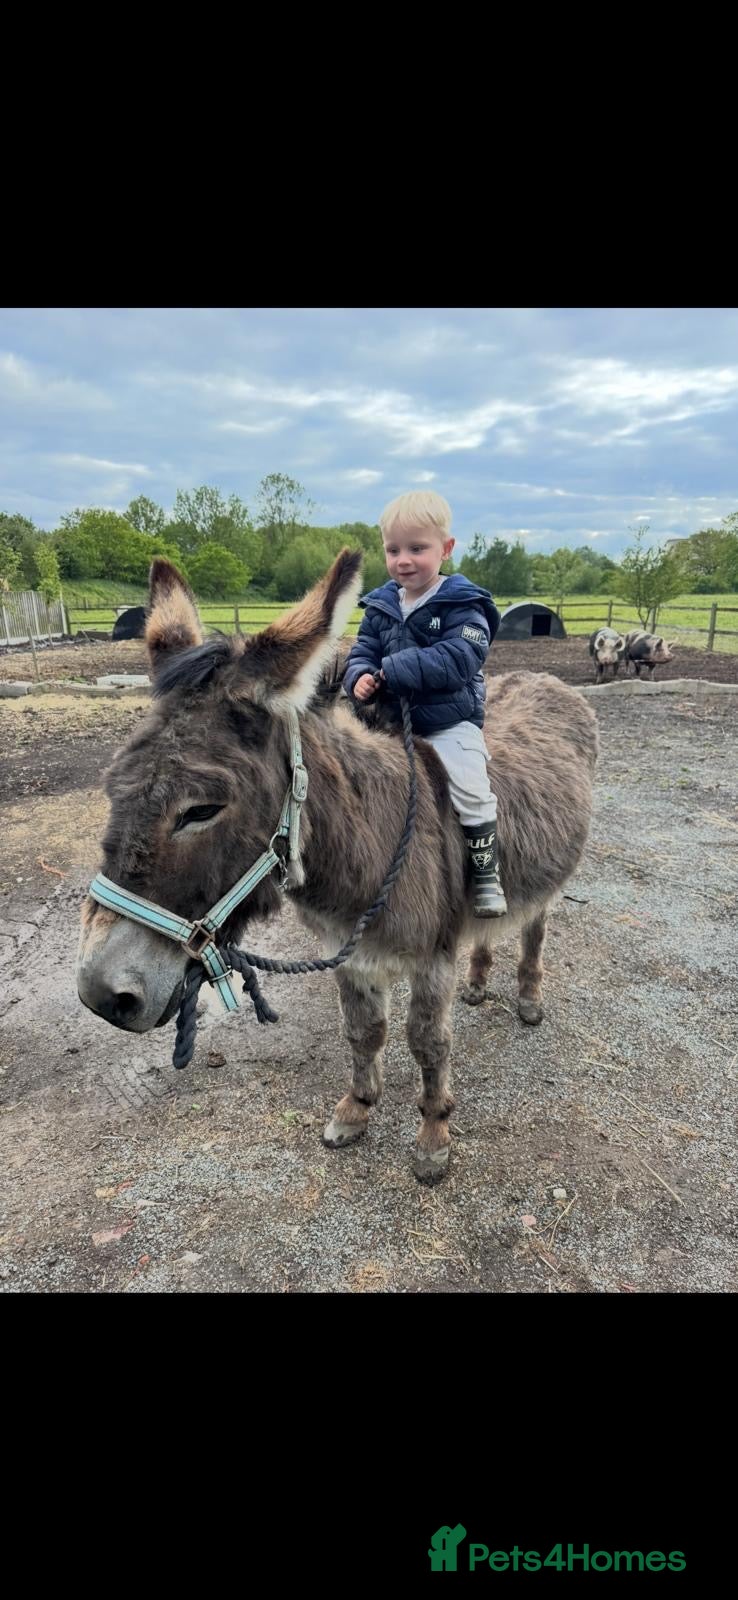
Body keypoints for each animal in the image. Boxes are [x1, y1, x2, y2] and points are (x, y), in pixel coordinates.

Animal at [77, 550, 598, 1182]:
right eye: (111, 786)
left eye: (200, 810)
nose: (100, 995)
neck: (369, 840)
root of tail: (549, 680)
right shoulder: (351, 952)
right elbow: (363, 1031)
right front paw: (357, 1108)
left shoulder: (430, 959)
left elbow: (428, 1042)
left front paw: (433, 1135)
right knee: (487, 930)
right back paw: (478, 982)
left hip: (546, 880)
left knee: (534, 928)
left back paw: (527, 999)